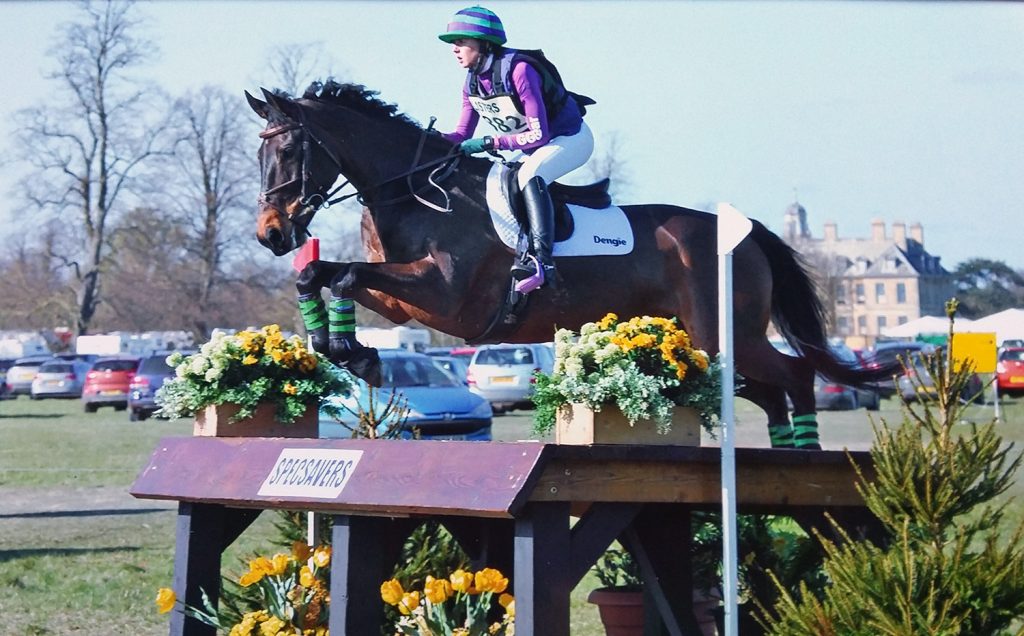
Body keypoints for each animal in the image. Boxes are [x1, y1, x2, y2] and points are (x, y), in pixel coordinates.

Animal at [243, 80, 892, 446]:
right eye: (259, 154)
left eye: (291, 149)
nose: (270, 234)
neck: (414, 189)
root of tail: (749, 233)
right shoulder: (404, 302)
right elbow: (324, 275)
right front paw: (343, 350)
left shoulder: (446, 299)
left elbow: (348, 274)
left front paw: (358, 357)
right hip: (711, 347)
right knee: (773, 393)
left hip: (726, 336)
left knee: (796, 377)